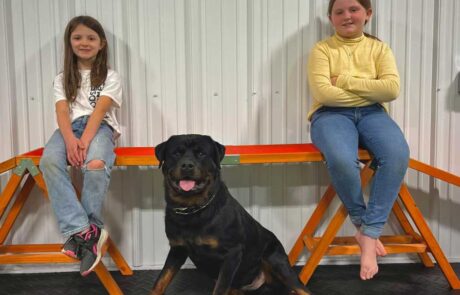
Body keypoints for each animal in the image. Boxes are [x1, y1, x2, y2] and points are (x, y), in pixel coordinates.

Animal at [153, 135, 310, 295]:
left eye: (201, 153)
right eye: (176, 153)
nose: (187, 165)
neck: (192, 208)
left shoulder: (232, 253)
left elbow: (220, 288)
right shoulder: (177, 249)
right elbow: (160, 281)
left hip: (278, 262)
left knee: (302, 289)